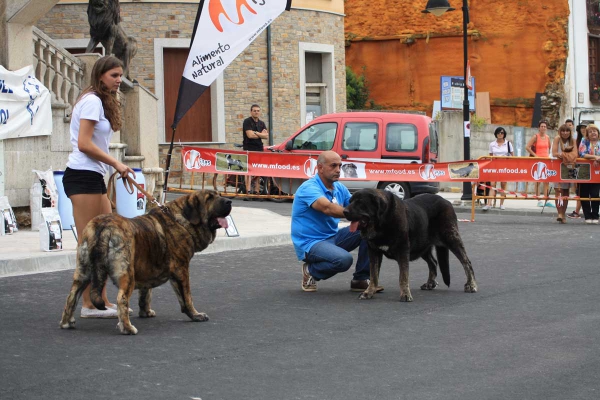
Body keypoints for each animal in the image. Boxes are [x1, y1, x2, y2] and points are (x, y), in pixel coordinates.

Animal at [59, 191, 232, 334]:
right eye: (209, 198)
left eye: (219, 194)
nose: (229, 201)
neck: (182, 220)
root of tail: (104, 226)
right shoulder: (181, 270)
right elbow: (187, 297)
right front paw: (196, 315)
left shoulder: (147, 268)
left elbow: (145, 293)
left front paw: (146, 312)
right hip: (127, 273)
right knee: (121, 299)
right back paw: (127, 328)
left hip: (83, 272)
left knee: (71, 297)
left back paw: (66, 323)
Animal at [342, 190, 478, 300]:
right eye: (350, 201)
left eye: (360, 202)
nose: (344, 211)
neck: (382, 222)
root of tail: (446, 201)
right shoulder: (374, 252)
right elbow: (373, 275)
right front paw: (369, 292)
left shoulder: (403, 251)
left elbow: (403, 276)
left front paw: (405, 294)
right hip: (422, 245)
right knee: (433, 262)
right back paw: (430, 283)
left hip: (451, 238)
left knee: (466, 262)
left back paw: (471, 285)